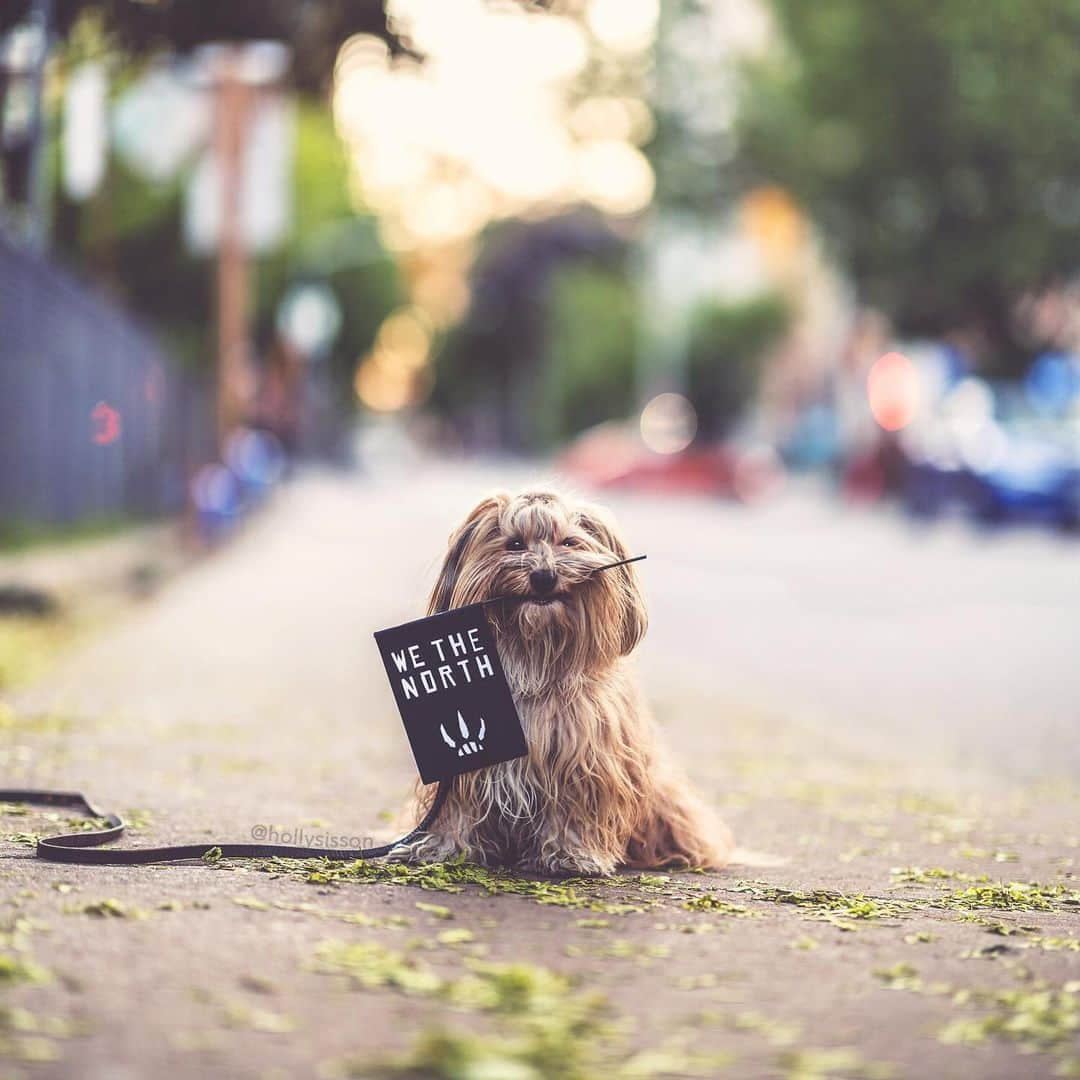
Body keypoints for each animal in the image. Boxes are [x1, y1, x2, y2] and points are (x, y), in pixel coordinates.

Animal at [406, 490, 734, 876]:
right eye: (514, 544)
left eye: (568, 542)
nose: (544, 576)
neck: (534, 657)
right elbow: (458, 810)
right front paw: (445, 847)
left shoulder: (584, 761)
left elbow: (573, 811)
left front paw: (569, 855)